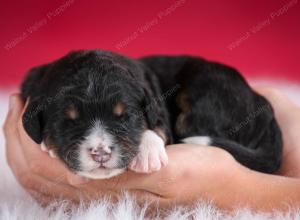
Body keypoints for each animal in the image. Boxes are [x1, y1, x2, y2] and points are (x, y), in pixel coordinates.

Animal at [21, 49, 282, 179]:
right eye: (69, 121)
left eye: (125, 117)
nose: (101, 153)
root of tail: (265, 108)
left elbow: (155, 127)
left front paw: (147, 153)